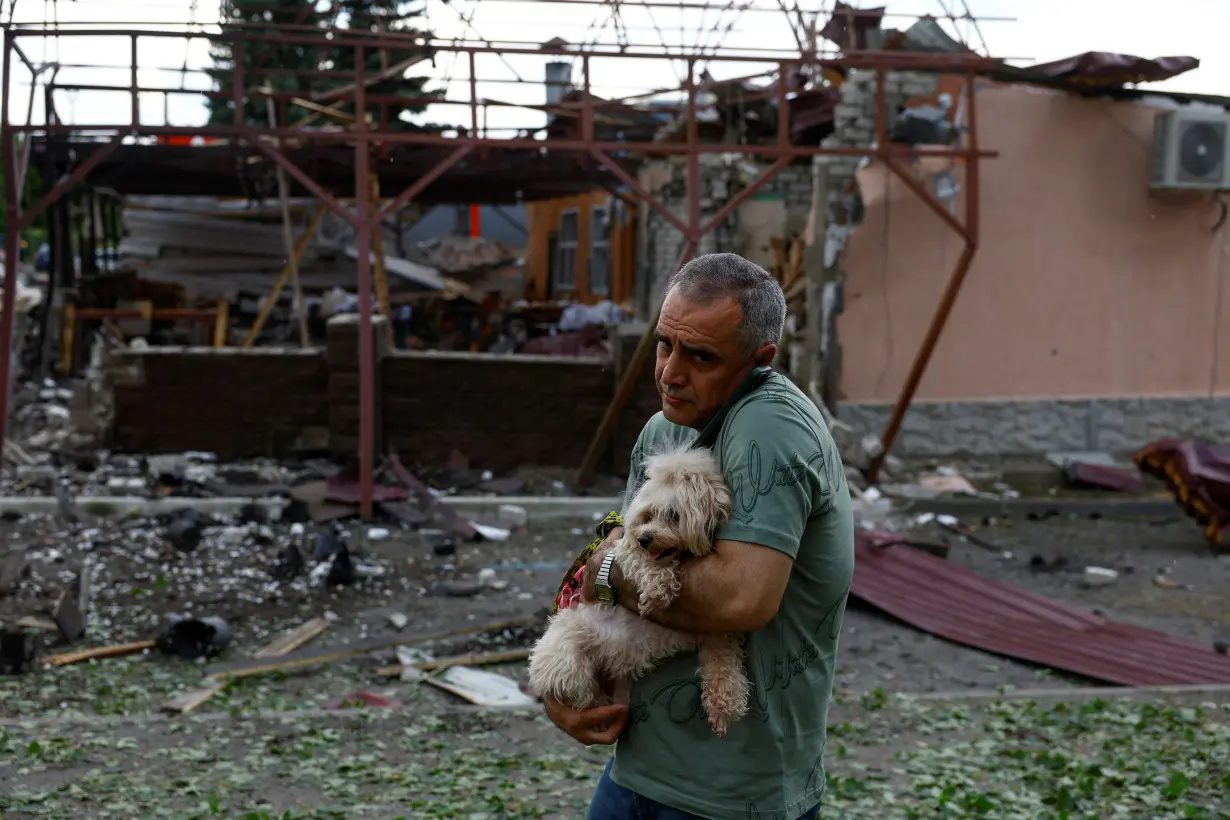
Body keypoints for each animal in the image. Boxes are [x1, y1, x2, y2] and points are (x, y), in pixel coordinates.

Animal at [528, 445, 747, 742]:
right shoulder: (625, 553)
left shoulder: (716, 629)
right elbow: (641, 563)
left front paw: (723, 704)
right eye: (646, 516)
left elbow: (723, 663)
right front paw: (658, 589)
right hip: (568, 656)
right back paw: (596, 704)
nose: (645, 538)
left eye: (673, 515)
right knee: (578, 692)